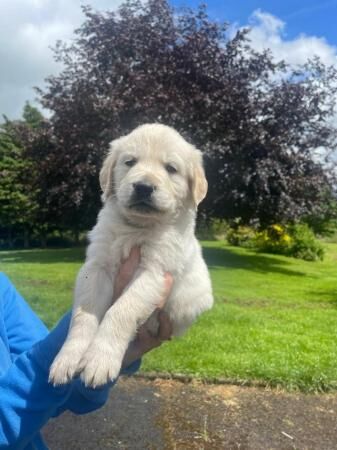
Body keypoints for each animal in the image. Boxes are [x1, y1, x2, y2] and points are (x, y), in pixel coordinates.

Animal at [49, 123, 213, 386]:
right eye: (130, 162)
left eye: (171, 168)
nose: (144, 187)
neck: (136, 227)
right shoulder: (96, 266)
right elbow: (84, 314)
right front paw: (68, 358)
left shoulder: (154, 271)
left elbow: (121, 311)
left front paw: (99, 360)